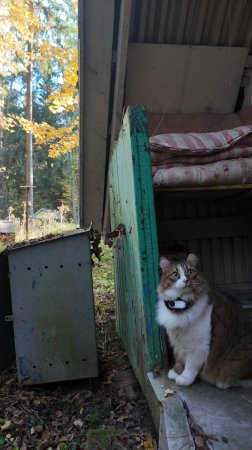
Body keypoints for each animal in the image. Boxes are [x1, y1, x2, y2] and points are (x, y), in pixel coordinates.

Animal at [157, 255, 252, 388]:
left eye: (190, 272)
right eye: (175, 274)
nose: (186, 281)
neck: (180, 306)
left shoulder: (198, 347)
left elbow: (190, 366)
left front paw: (184, 378)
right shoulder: (177, 343)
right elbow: (179, 360)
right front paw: (176, 372)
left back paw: (221, 382)